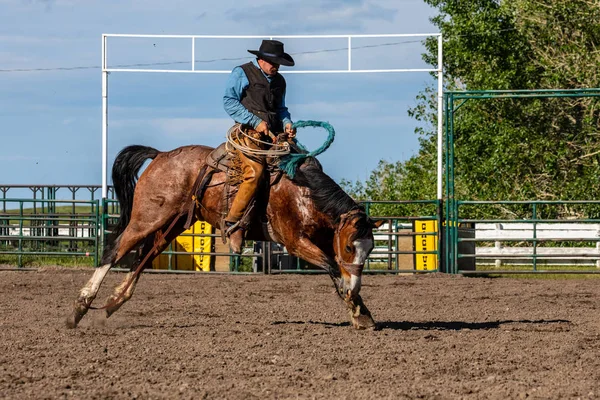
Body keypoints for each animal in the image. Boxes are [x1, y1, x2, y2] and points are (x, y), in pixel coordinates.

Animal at [67, 143, 384, 328]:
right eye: (349, 246)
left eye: (369, 250)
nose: (355, 287)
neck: (303, 192)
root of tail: (160, 156)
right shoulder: (294, 242)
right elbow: (334, 268)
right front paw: (354, 304)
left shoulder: (321, 241)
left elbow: (336, 271)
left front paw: (362, 312)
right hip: (146, 218)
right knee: (115, 251)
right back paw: (79, 309)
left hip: (173, 224)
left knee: (145, 256)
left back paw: (112, 303)